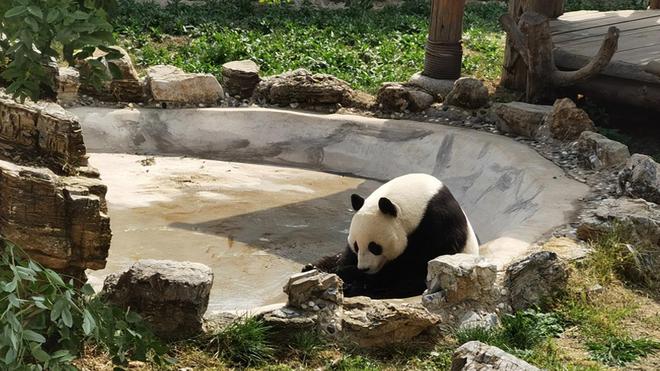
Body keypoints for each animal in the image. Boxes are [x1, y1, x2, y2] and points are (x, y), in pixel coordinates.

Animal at [304, 174, 480, 300]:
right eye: (356, 245)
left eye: (375, 247)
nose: (364, 268)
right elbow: (346, 255)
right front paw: (326, 270)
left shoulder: (438, 225)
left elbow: (413, 264)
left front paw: (349, 274)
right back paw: (314, 268)